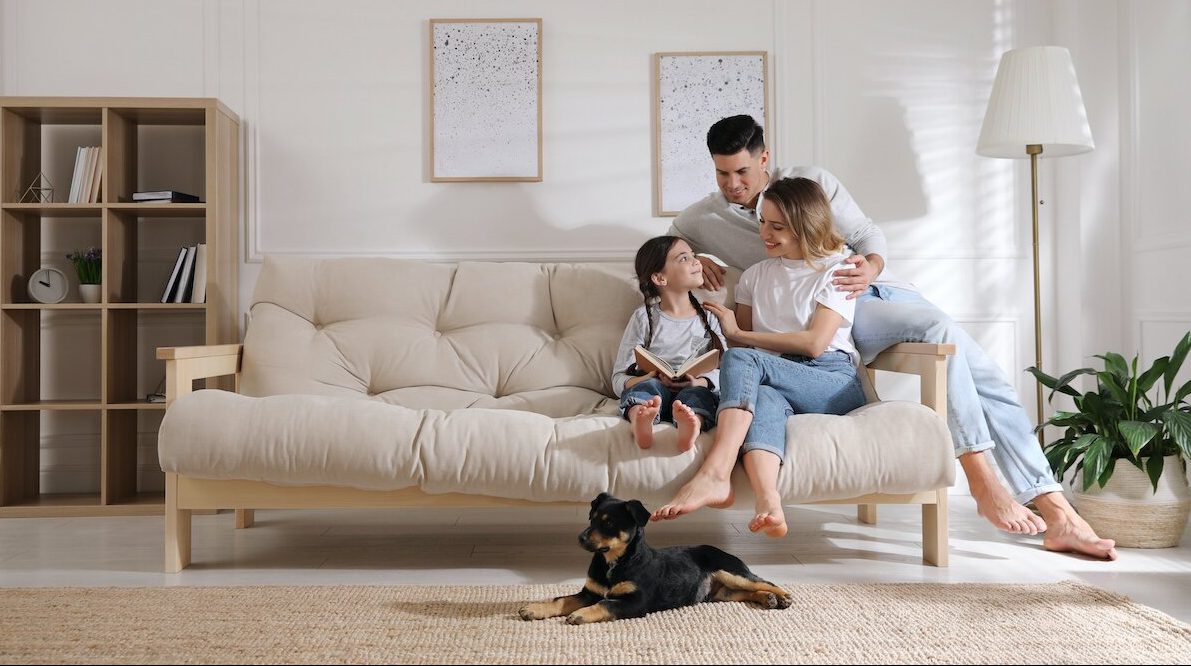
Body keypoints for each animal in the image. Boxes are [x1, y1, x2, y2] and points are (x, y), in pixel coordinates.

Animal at [519, 490, 790, 624]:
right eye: (592, 518)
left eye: (609, 523)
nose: (581, 538)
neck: (613, 562)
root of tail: (723, 550)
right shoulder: (590, 592)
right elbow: (560, 599)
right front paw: (534, 609)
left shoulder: (636, 601)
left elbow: (606, 604)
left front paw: (581, 615)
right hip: (720, 592)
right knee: (744, 592)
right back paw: (767, 599)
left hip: (730, 571)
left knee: (763, 581)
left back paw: (783, 596)